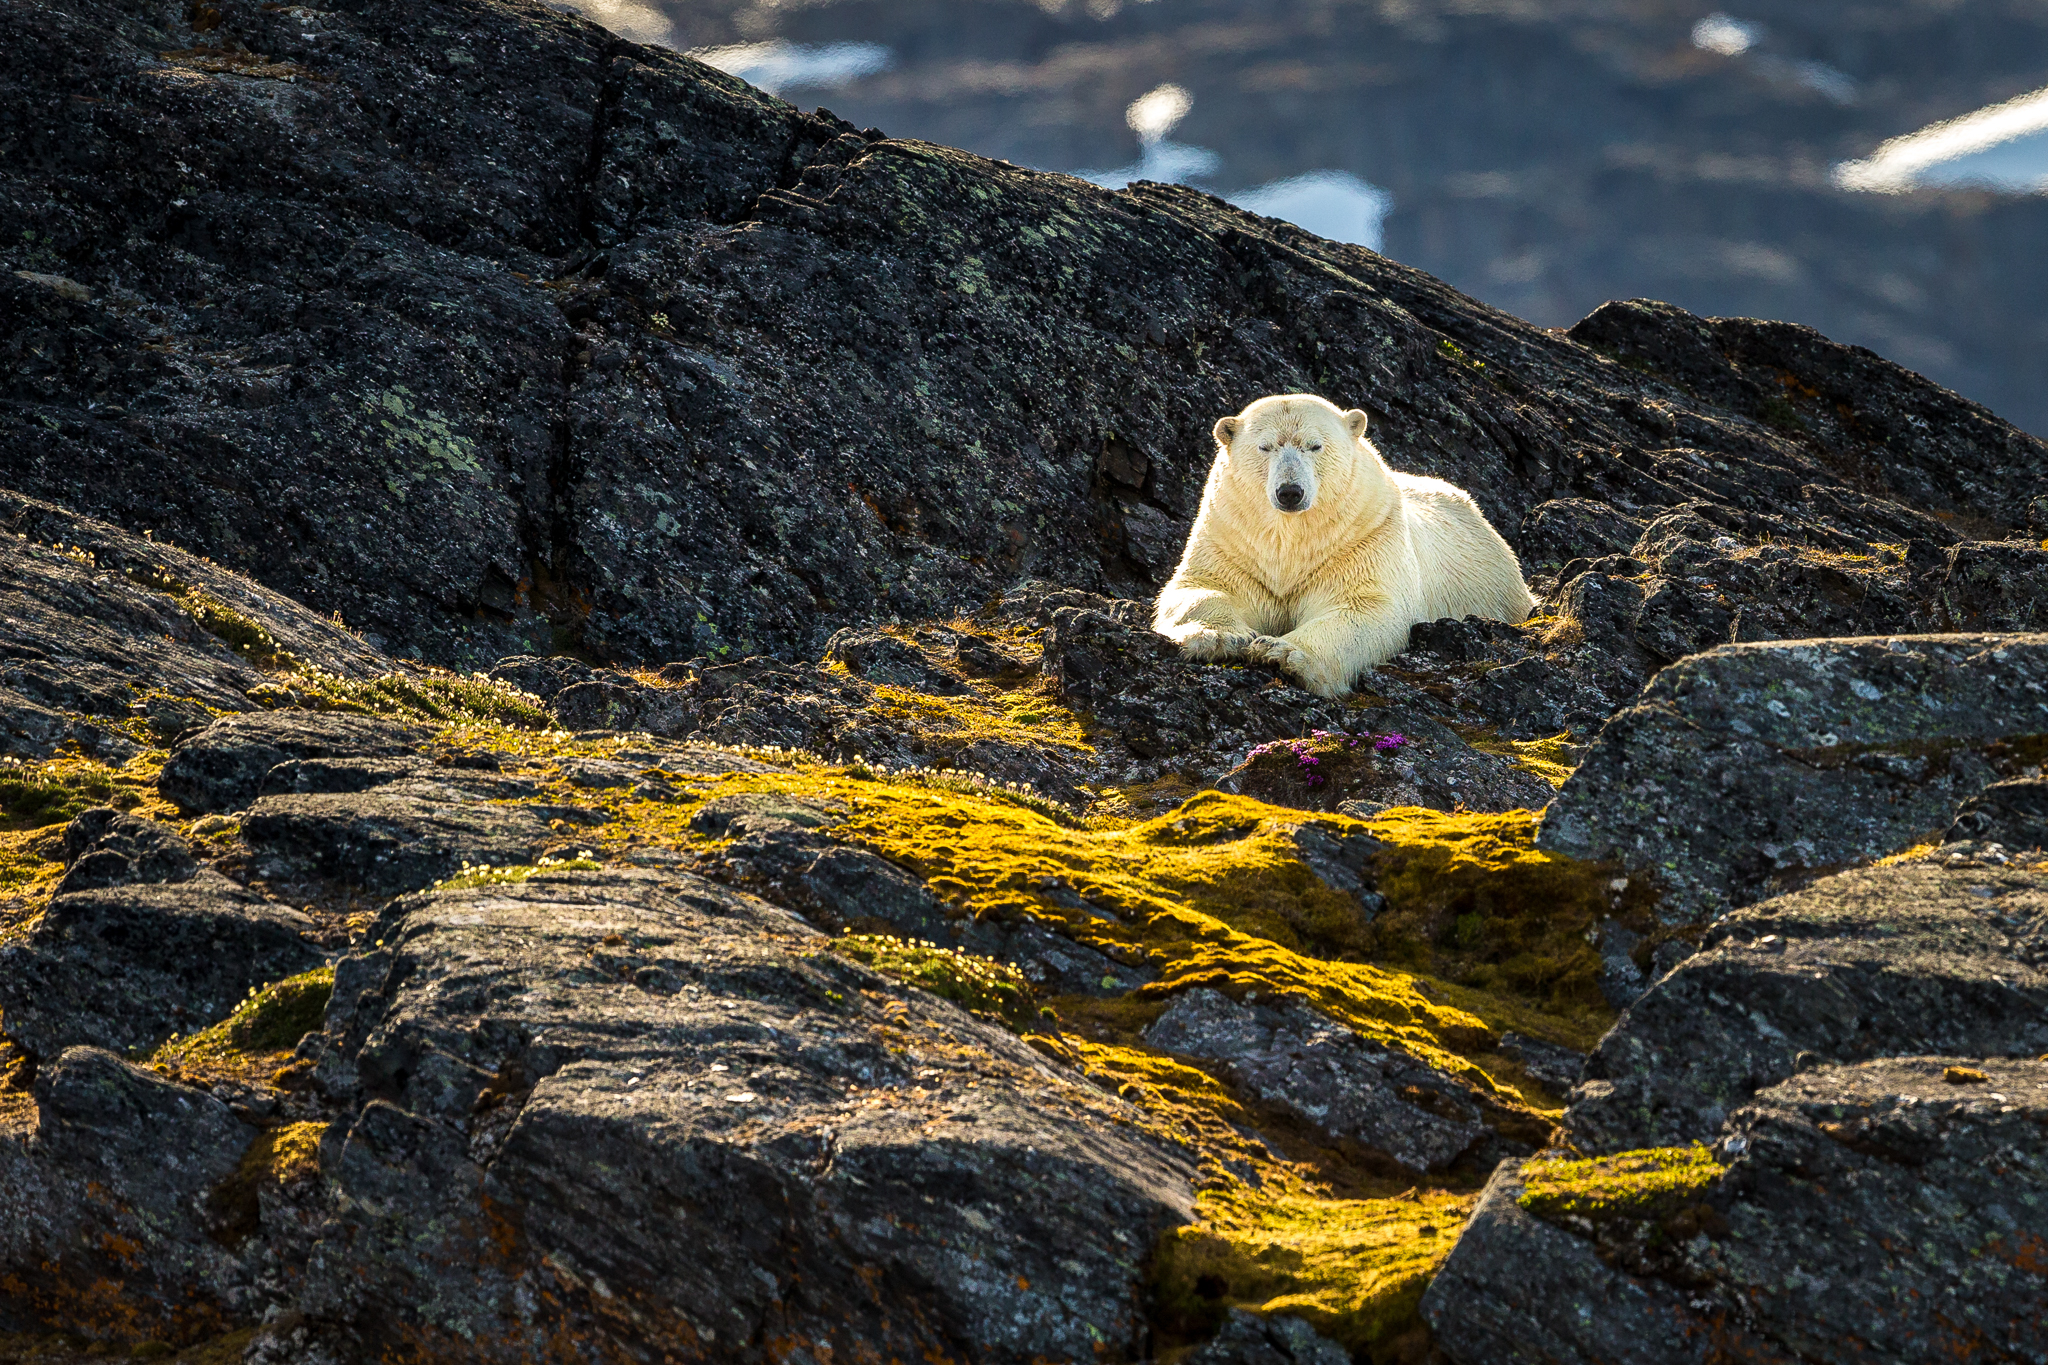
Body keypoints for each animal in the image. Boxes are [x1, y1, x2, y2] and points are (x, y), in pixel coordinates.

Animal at [1152, 392, 1533, 697]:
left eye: (1315, 445)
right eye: (1265, 446)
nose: (1290, 492)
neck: (1292, 538)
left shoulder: (1364, 538)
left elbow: (1362, 606)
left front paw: (1283, 654)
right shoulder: (1232, 537)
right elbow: (1202, 588)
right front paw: (1222, 639)